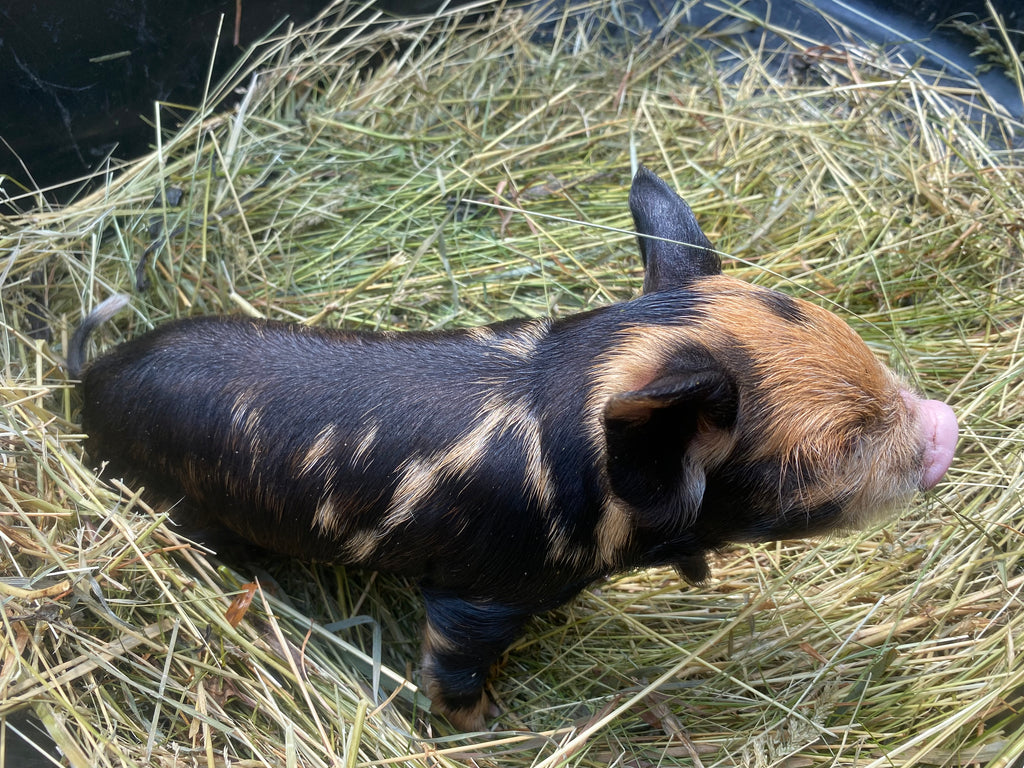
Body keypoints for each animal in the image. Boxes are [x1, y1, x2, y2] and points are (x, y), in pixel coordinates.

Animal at [67, 167, 958, 730]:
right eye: (837, 445)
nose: (945, 424)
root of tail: (90, 381)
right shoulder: (479, 592)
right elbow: (453, 663)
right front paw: (487, 722)